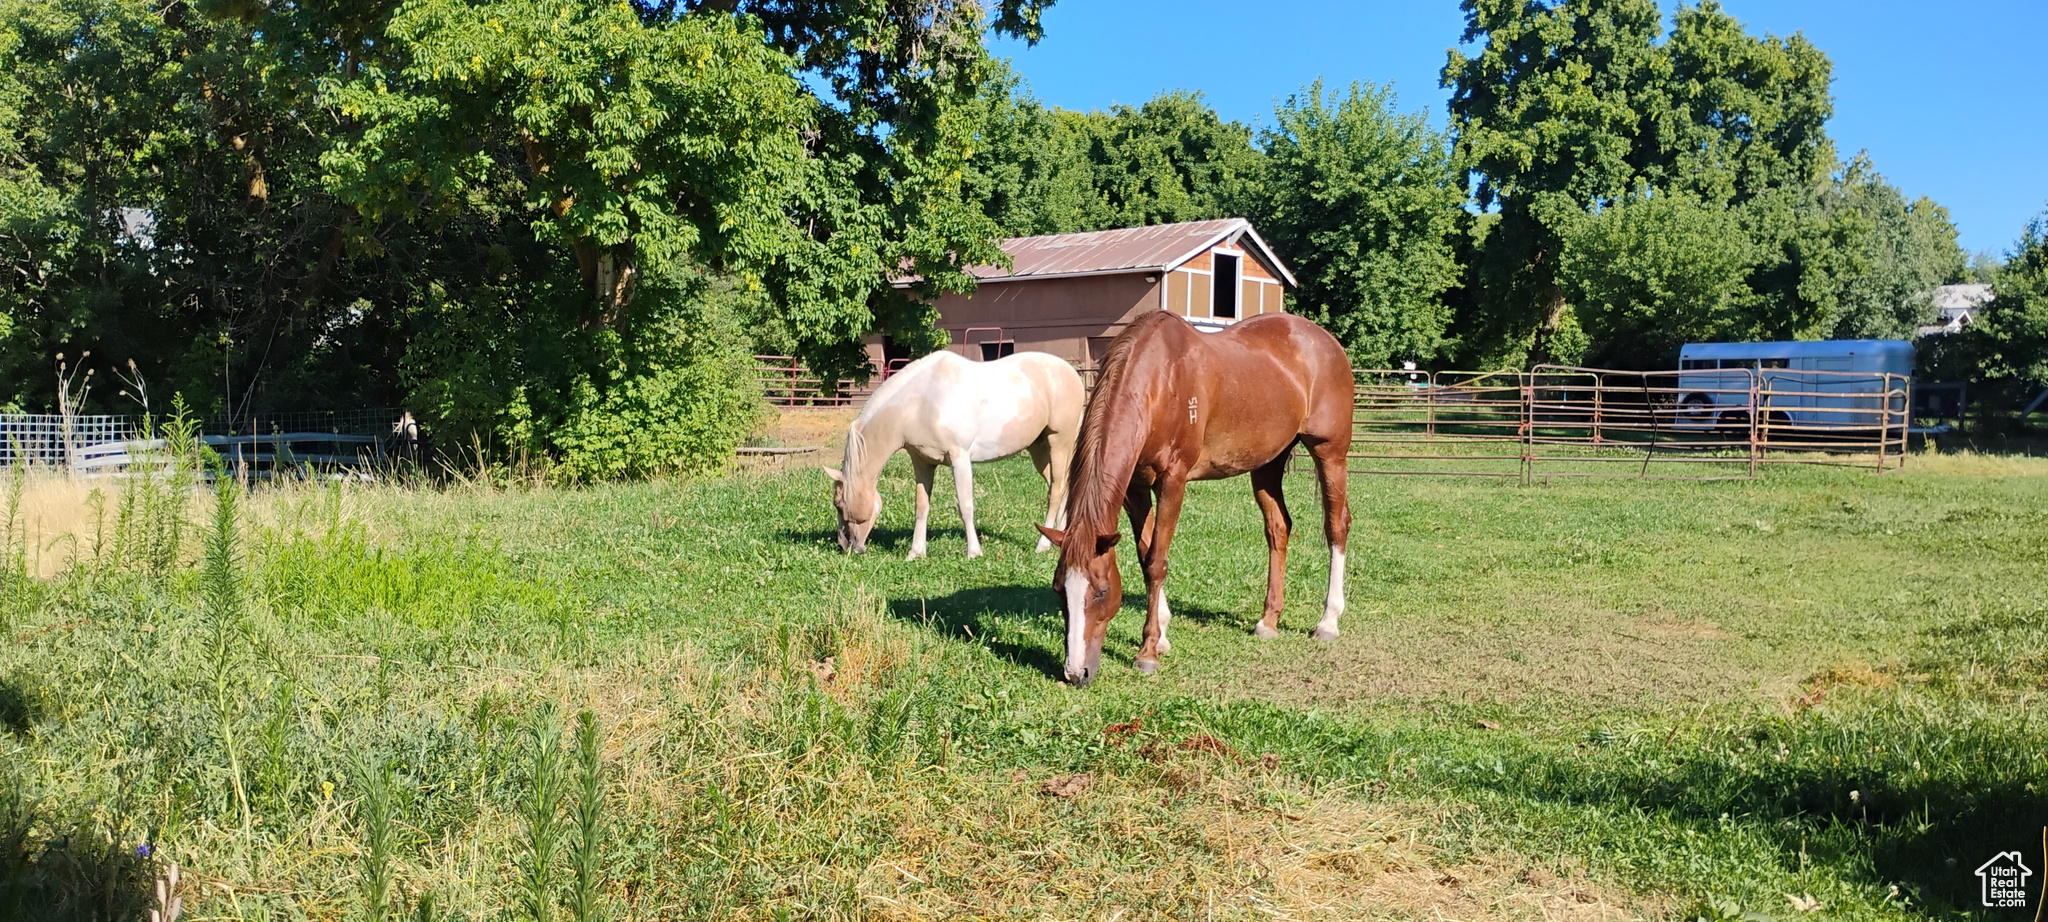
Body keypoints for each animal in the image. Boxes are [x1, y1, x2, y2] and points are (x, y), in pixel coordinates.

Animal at [827, 350, 1097, 557]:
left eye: (839, 504)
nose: (844, 544)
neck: (920, 402)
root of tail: (1071, 372)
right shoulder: (922, 463)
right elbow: (921, 506)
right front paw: (916, 553)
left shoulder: (960, 459)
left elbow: (965, 506)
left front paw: (974, 552)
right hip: (1039, 449)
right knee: (1062, 488)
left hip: (1059, 441)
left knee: (1057, 490)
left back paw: (1042, 545)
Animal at [1032, 309, 1351, 684]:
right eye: (1059, 589)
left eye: (1101, 591)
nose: (1075, 672)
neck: (1159, 383)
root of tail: (1327, 341)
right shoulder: (1134, 488)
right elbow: (1145, 555)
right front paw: (1162, 635)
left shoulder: (1173, 481)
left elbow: (1157, 561)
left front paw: (1148, 651)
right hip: (1267, 463)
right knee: (1278, 528)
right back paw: (1268, 620)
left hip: (1330, 453)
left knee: (1336, 526)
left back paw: (1328, 621)